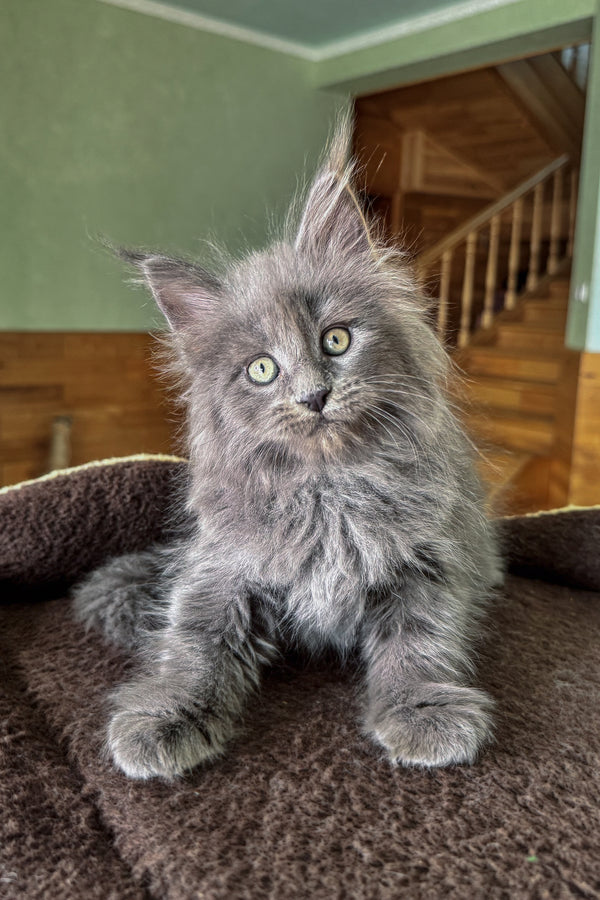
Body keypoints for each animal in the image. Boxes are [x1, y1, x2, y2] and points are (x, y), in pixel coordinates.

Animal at [71, 126, 502, 780]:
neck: (327, 491)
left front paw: (423, 711)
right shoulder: (220, 570)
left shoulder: (430, 562)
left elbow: (421, 641)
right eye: (262, 369)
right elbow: (193, 646)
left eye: (336, 339)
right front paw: (166, 715)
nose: (314, 395)